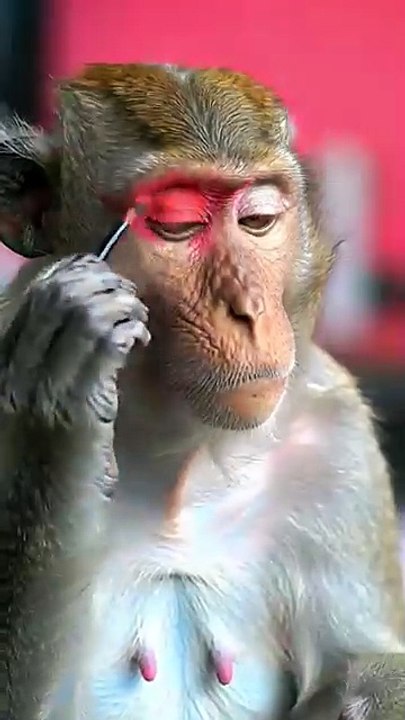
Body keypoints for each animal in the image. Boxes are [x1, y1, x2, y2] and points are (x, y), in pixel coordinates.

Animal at [0, 63, 404, 720]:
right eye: (176, 225)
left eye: (258, 220)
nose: (248, 311)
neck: (180, 463)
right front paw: (60, 412)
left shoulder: (335, 443)